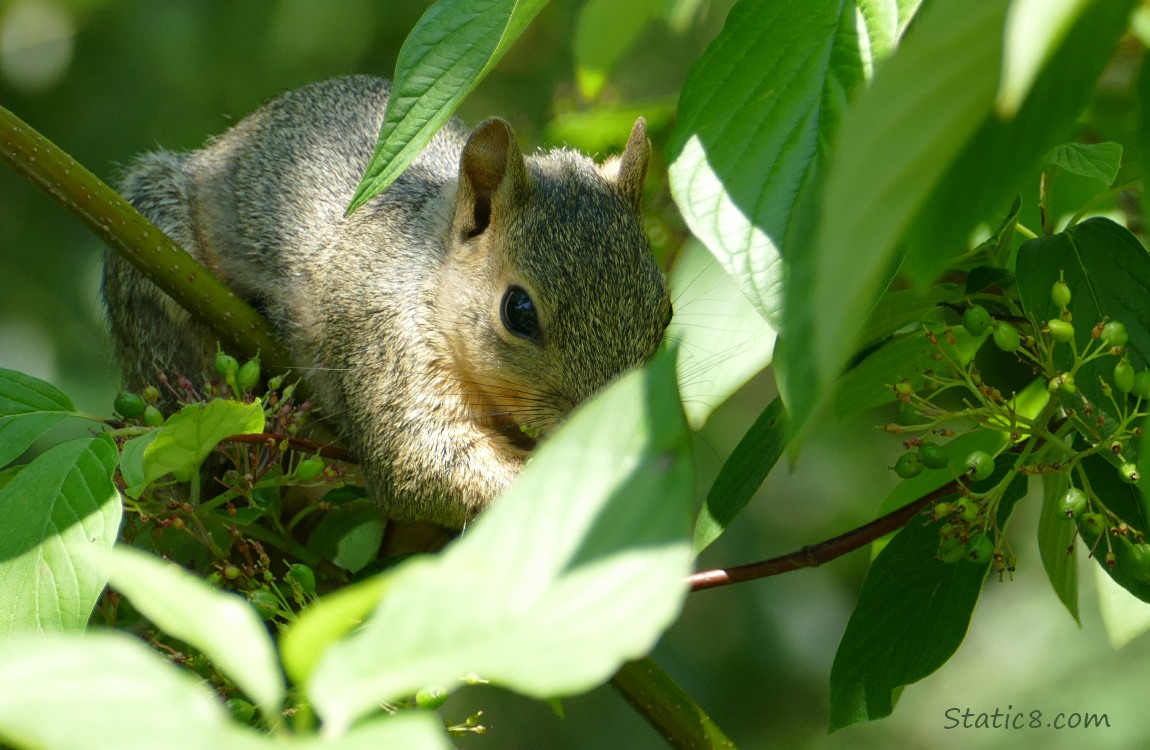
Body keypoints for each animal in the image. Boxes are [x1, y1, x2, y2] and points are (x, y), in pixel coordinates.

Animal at [103, 75, 672, 529]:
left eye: (664, 313)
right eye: (519, 312)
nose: (620, 429)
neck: (430, 276)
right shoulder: (386, 346)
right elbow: (418, 461)